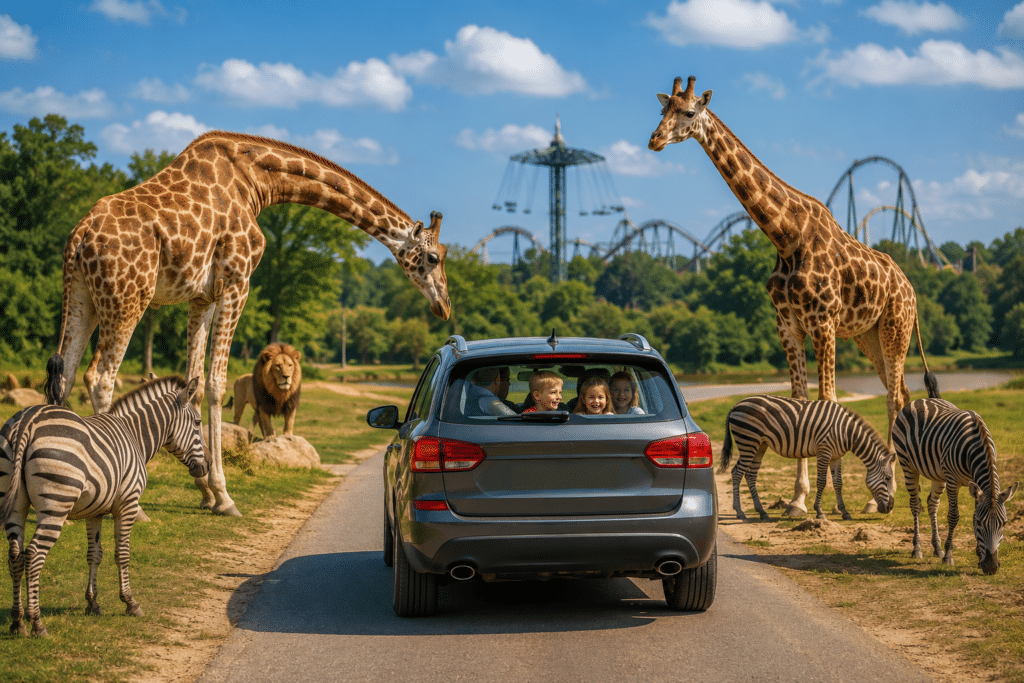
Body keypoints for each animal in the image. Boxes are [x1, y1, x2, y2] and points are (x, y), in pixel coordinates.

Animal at [1, 354, 209, 637]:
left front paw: (92, 603)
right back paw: (37, 623)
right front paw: (130, 603)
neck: (135, 436)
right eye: (198, 423)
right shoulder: (128, 504)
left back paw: (17, 621)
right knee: (33, 555)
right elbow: (122, 553)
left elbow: (94, 554)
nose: (207, 466)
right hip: (56, 505)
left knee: (15, 555)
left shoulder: (95, 511)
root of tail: (27, 420)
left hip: (15, 504)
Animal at [720, 395, 896, 522]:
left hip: (760, 445)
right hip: (748, 442)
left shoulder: (837, 456)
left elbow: (838, 484)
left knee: (750, 475)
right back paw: (740, 512)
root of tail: (735, 406)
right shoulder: (824, 451)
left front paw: (845, 513)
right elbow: (822, 482)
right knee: (737, 472)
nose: (890, 508)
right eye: (887, 478)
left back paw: (762, 512)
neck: (846, 432)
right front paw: (820, 512)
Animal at [892, 398, 1018, 575]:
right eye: (980, 523)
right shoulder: (952, 480)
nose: (991, 567)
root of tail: (920, 400)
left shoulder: (975, 484)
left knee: (932, 503)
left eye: (1004, 523)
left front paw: (978, 556)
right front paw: (949, 556)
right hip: (907, 464)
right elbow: (954, 516)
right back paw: (917, 548)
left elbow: (972, 513)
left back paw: (937, 548)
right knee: (915, 504)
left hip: (938, 474)